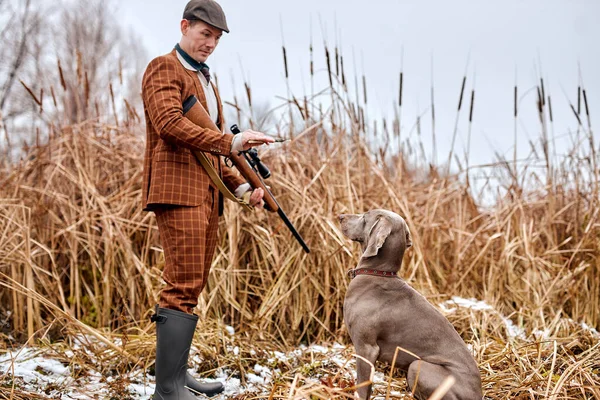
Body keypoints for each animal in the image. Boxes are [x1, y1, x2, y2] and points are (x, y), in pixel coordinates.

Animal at [338, 209, 482, 400]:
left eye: (365, 216)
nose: (340, 216)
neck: (378, 273)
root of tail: (478, 393)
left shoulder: (366, 348)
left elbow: (362, 387)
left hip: (418, 366)